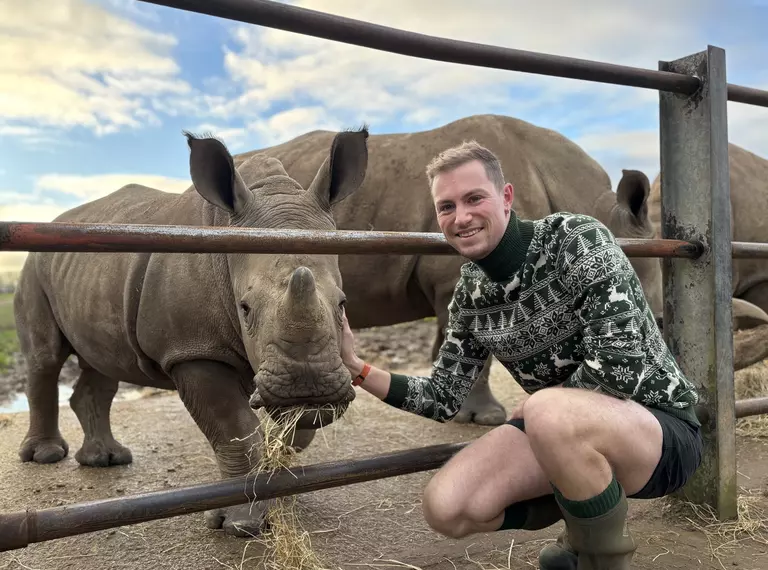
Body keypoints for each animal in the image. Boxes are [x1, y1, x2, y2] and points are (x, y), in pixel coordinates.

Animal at [13, 126, 368, 536]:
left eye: (342, 304)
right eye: (245, 308)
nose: (309, 389)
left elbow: (296, 428)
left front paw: (283, 472)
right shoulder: (192, 349)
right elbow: (234, 430)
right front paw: (241, 524)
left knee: (101, 364)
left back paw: (107, 459)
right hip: (33, 266)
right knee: (45, 358)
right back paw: (47, 456)